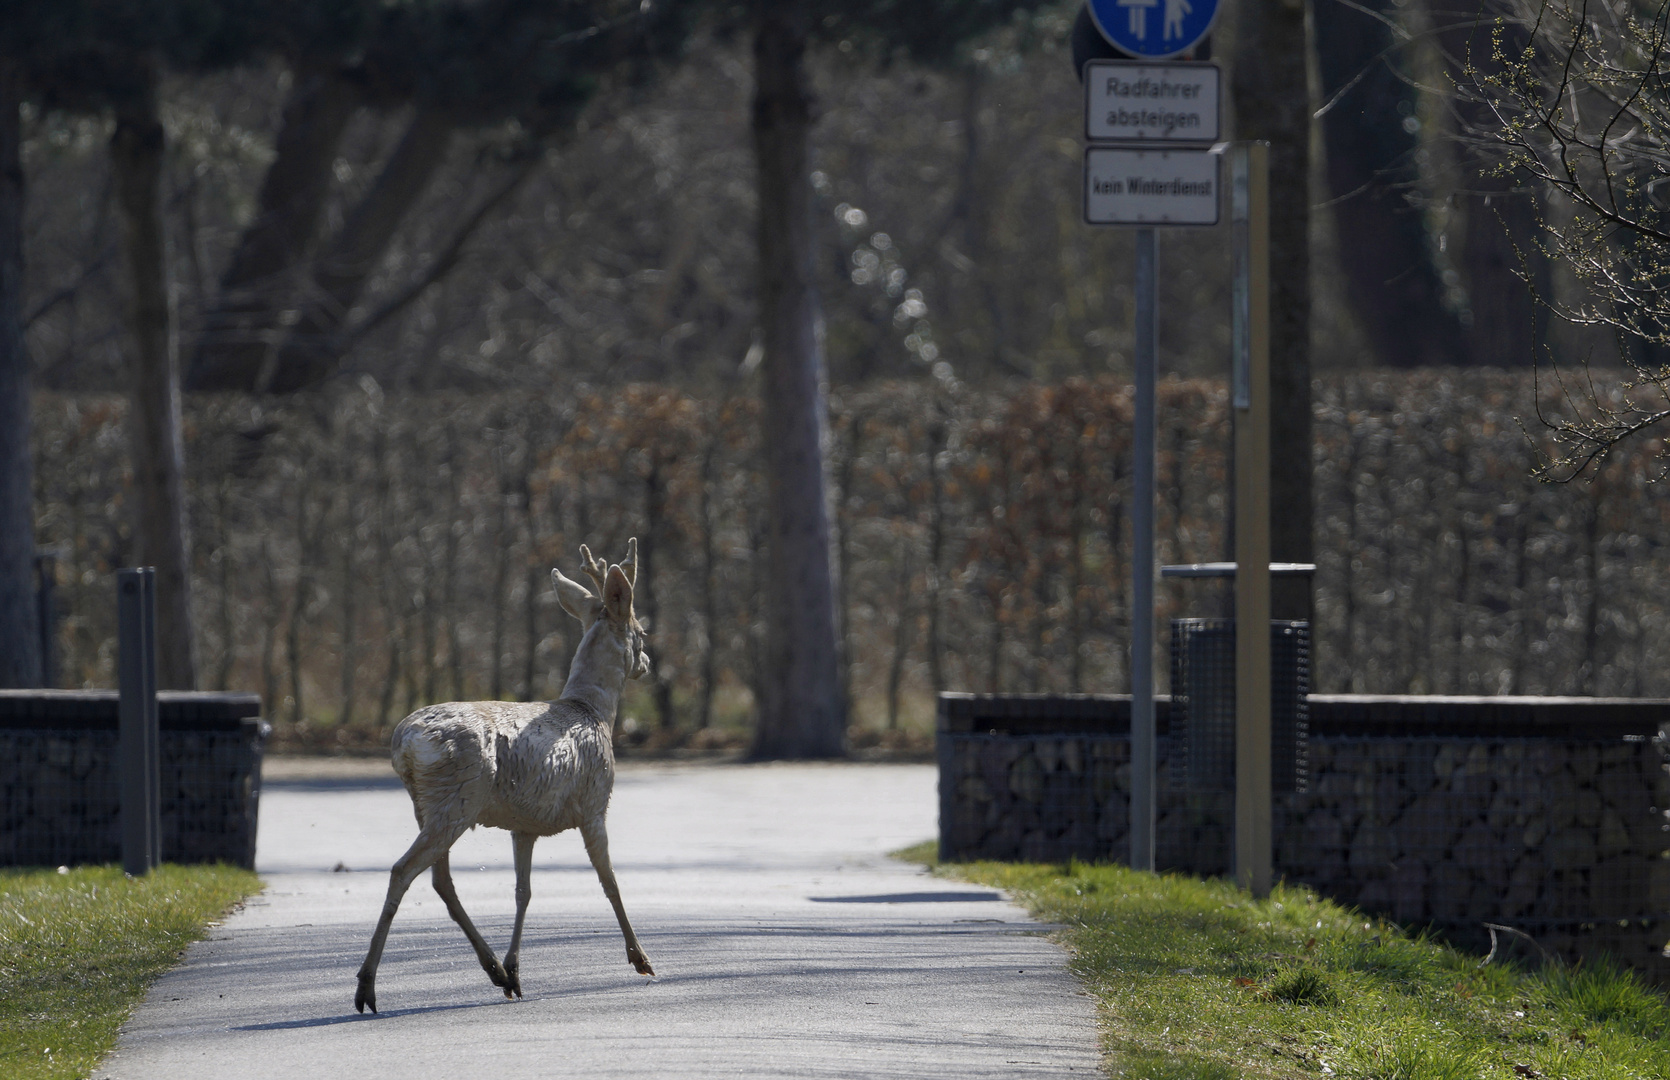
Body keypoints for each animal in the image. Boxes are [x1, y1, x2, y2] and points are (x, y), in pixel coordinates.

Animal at [352, 540, 651, 1014]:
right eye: (642, 631)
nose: (648, 662)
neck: (594, 711)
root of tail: (404, 743)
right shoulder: (594, 804)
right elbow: (611, 882)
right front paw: (641, 959)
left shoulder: (523, 824)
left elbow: (522, 890)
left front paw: (515, 971)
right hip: (458, 795)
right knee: (403, 870)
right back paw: (366, 987)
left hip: (429, 805)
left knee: (440, 879)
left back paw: (495, 971)